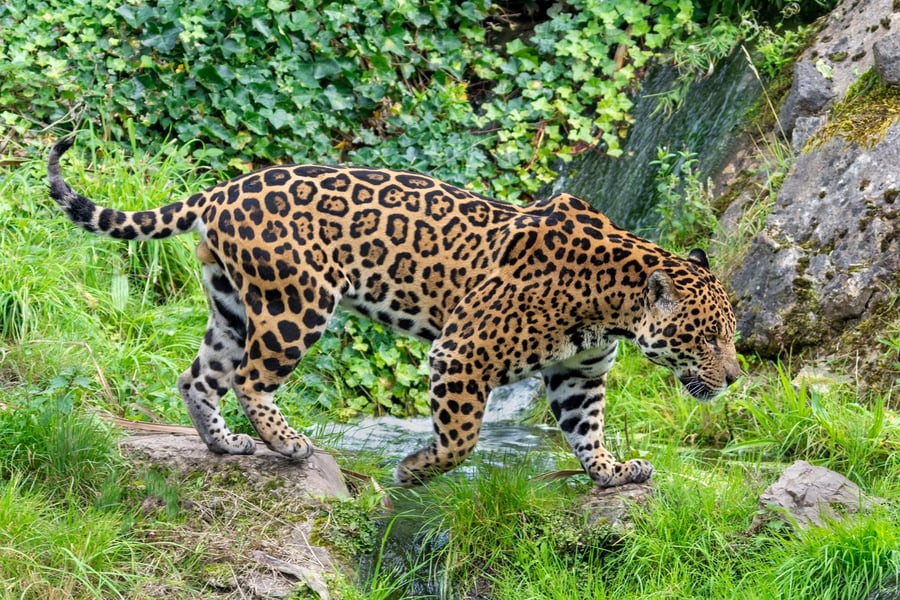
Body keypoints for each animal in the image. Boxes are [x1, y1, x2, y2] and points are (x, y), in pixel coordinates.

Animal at [48, 136, 740, 488]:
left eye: (729, 337)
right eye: (707, 338)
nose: (735, 377)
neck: (613, 300)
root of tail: (223, 189)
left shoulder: (581, 374)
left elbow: (586, 429)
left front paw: (613, 472)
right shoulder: (462, 354)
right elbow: (462, 440)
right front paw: (413, 469)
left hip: (231, 305)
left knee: (198, 377)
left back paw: (227, 446)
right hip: (295, 304)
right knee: (249, 378)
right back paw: (288, 443)